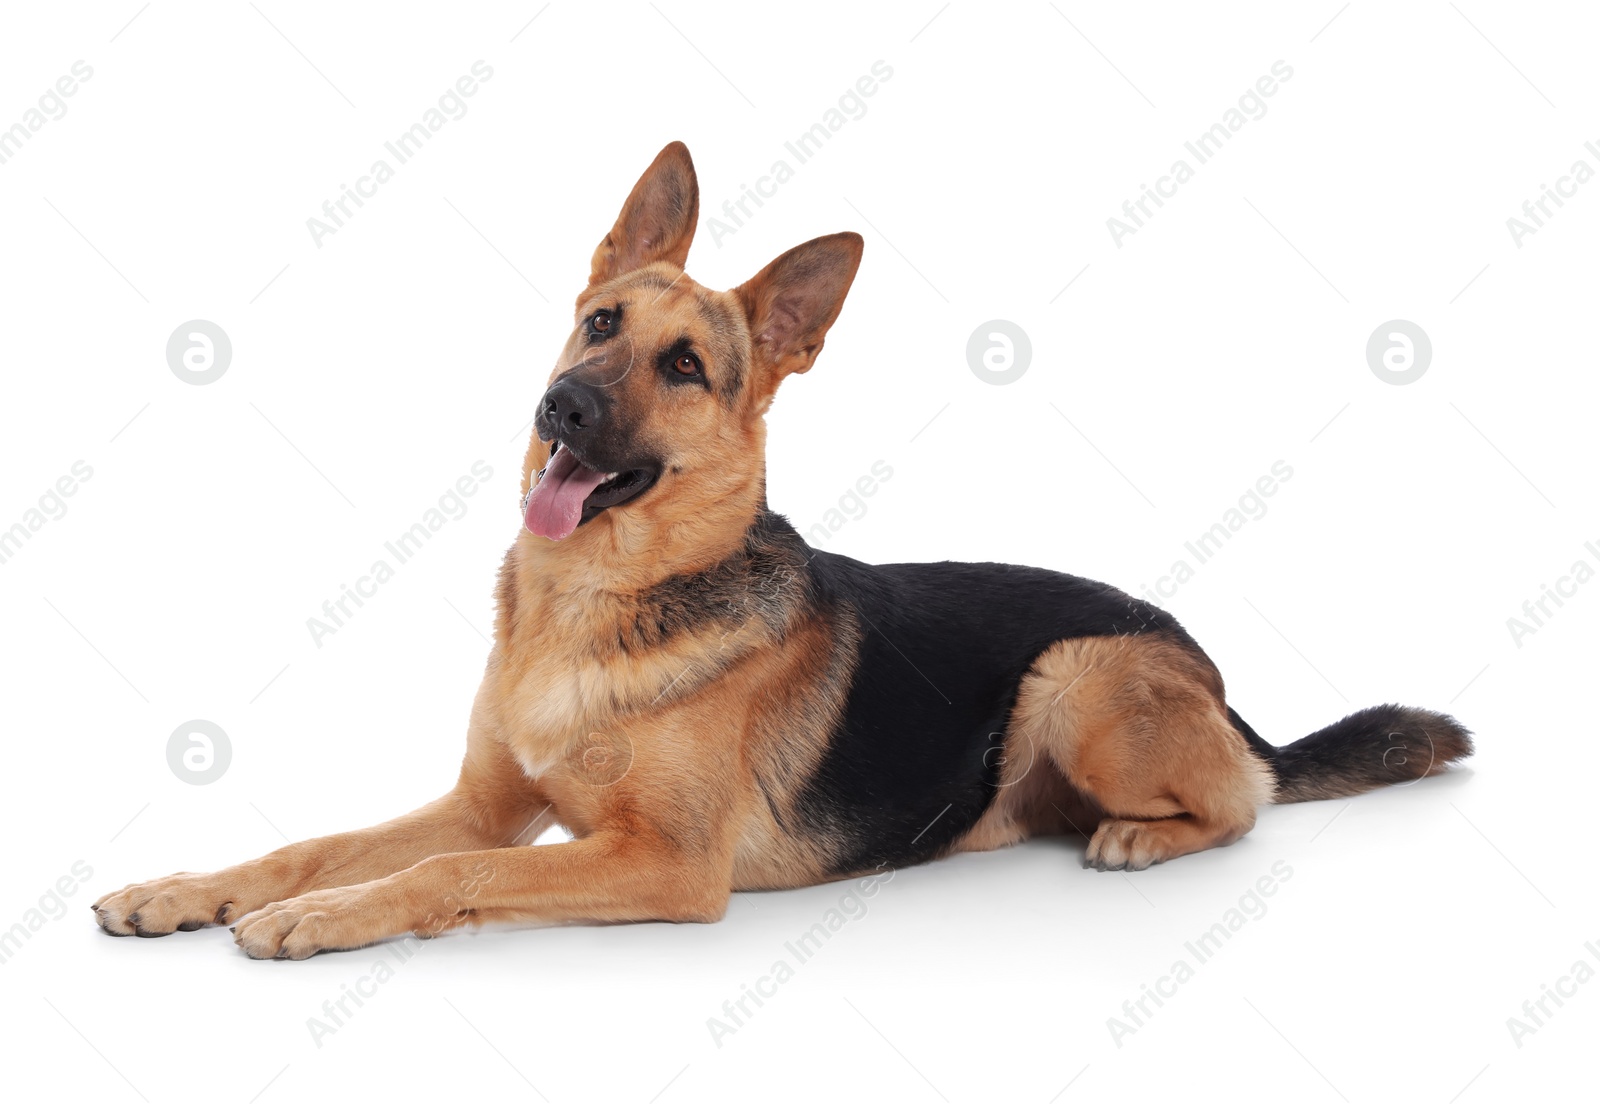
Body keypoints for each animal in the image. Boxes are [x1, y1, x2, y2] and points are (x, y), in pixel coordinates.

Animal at [93, 144, 1472, 959]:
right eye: (601, 324)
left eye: (685, 369)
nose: (563, 410)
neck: (603, 595)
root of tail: (1211, 671)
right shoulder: (488, 798)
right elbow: (317, 841)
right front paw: (193, 887)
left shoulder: (662, 866)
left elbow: (445, 873)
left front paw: (324, 918)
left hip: (1076, 675)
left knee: (1242, 804)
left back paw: (1140, 834)